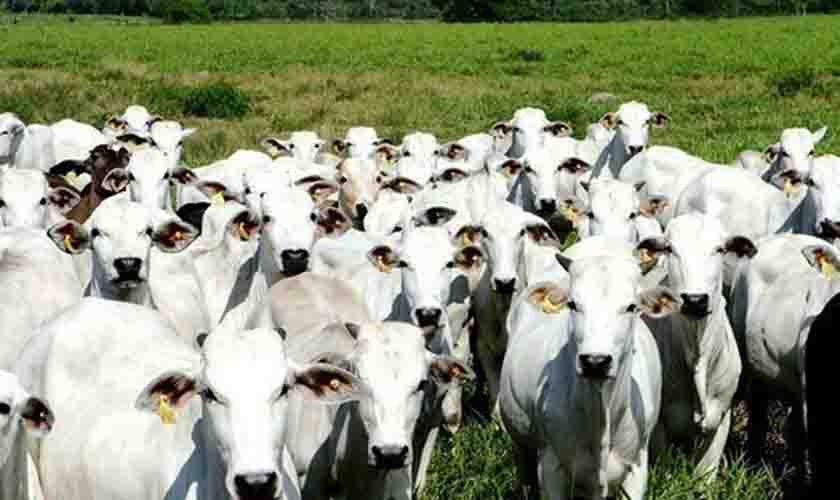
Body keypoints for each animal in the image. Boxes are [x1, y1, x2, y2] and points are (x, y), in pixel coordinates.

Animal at [498, 256, 668, 498]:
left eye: (631, 307)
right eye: (572, 304)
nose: (595, 361)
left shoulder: (637, 465)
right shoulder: (550, 466)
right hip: (522, 447)